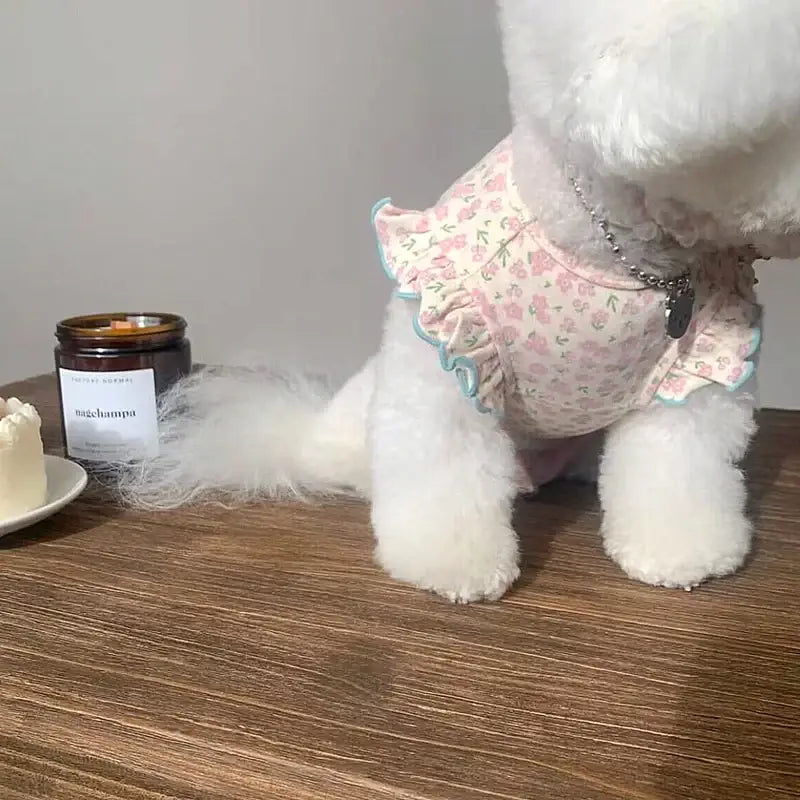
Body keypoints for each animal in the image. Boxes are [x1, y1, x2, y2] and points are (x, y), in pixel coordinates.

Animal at [119, 0, 800, 600]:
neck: (612, 255)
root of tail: (306, 434)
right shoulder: (448, 358)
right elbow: (443, 473)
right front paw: (454, 567)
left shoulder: (694, 376)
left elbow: (678, 469)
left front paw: (683, 551)